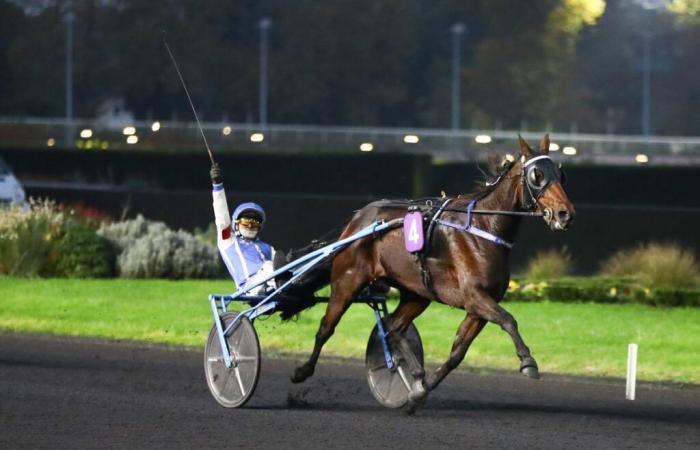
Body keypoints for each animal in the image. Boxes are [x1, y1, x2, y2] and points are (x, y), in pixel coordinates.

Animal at [288, 135, 572, 406]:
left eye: (561, 174)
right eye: (537, 175)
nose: (564, 213)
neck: (483, 227)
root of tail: (358, 220)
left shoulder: (478, 307)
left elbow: (458, 352)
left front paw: (421, 390)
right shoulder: (475, 297)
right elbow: (508, 320)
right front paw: (528, 362)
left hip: (417, 293)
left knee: (393, 328)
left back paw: (414, 372)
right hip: (347, 281)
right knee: (326, 327)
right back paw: (302, 371)